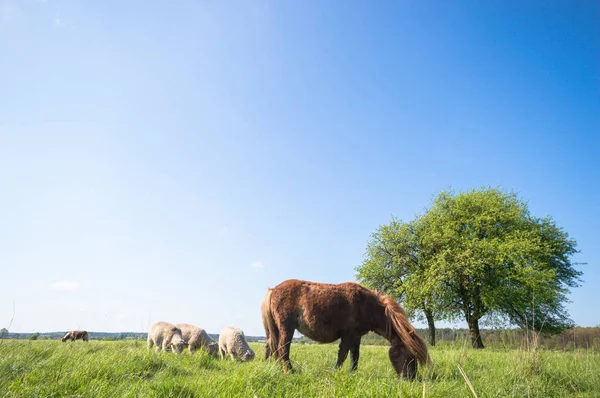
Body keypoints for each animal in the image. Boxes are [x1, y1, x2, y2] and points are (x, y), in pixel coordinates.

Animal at [262, 278, 432, 378]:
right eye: (411, 356)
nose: (412, 378)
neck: (366, 305)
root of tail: (273, 289)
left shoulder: (357, 336)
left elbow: (354, 355)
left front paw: (353, 373)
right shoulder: (348, 334)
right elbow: (343, 354)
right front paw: (336, 372)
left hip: (275, 329)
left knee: (270, 347)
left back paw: (272, 367)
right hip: (286, 328)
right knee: (283, 349)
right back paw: (290, 372)